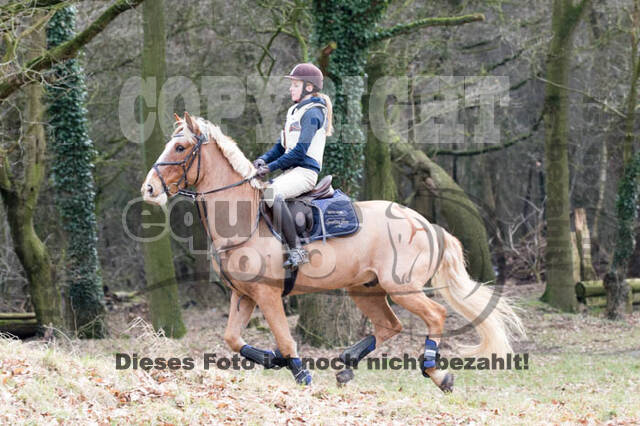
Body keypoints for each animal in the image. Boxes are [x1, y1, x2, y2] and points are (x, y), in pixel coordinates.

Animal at [141, 112, 524, 392]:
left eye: (179, 147)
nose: (149, 189)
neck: (243, 219)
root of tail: (426, 224)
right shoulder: (244, 296)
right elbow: (233, 339)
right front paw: (273, 360)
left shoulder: (267, 295)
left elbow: (286, 340)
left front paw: (301, 375)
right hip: (366, 290)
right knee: (391, 325)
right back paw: (348, 364)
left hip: (402, 287)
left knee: (435, 316)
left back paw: (435, 372)